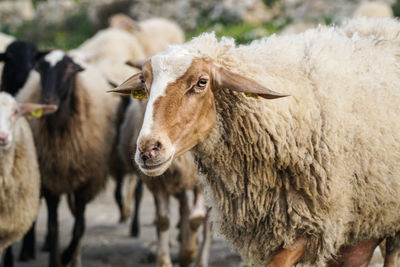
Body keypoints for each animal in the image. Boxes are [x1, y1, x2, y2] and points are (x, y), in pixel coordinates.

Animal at [16, 50, 120, 267]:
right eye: (40, 69)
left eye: (69, 70)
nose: (48, 100)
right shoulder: (50, 182)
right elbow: (53, 226)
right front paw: (55, 260)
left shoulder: (84, 182)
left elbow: (79, 227)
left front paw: (66, 256)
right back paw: (29, 250)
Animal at [117, 97, 211, 266]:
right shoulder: (159, 182)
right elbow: (163, 220)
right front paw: (164, 260)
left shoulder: (200, 182)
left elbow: (196, 219)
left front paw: (188, 254)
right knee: (183, 206)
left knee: (206, 221)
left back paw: (199, 258)